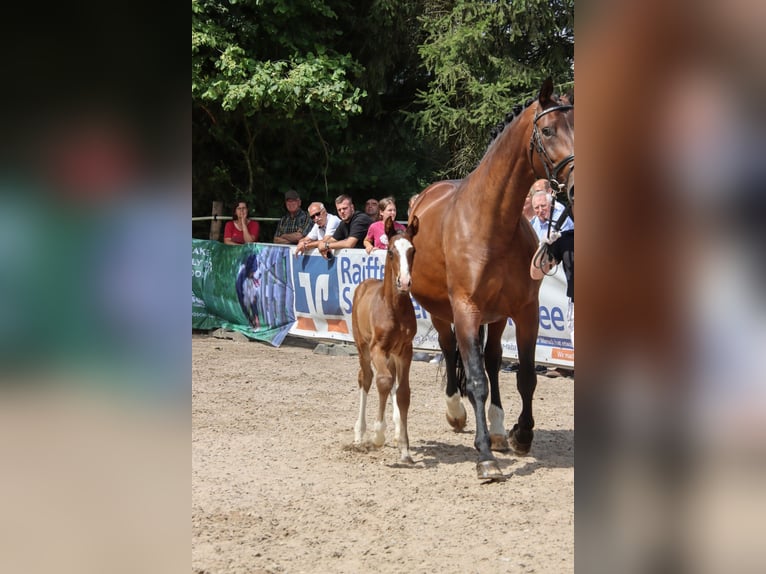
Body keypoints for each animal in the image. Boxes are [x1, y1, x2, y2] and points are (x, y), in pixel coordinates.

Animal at [352, 216, 420, 464]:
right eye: (391, 251)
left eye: (413, 250)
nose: (405, 282)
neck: (393, 308)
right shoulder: (377, 349)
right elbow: (382, 381)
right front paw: (378, 434)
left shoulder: (405, 350)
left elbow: (403, 392)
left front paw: (404, 448)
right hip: (362, 347)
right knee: (366, 378)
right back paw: (360, 433)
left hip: (391, 354)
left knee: (392, 382)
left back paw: (398, 429)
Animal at [412, 77, 572, 482]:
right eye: (549, 130)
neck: (492, 223)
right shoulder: (466, 310)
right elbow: (475, 379)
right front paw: (484, 456)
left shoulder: (525, 311)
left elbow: (525, 374)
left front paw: (520, 434)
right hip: (442, 312)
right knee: (450, 349)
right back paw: (457, 412)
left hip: (498, 317)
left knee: (494, 359)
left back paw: (498, 429)